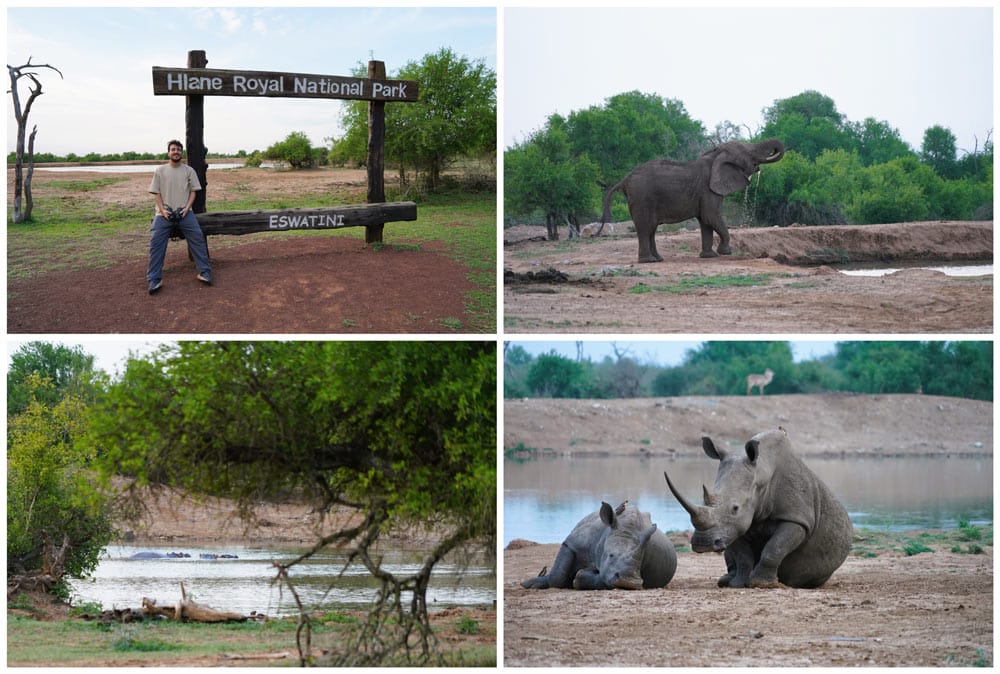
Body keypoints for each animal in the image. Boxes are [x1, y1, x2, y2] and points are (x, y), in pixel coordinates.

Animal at [520, 498, 676, 588]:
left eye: (640, 563)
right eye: (610, 556)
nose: (629, 581)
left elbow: (602, 578)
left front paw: (579, 578)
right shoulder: (572, 543)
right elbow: (557, 577)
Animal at [596, 138, 784, 262]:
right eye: (749, 154)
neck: (715, 154)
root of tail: (625, 179)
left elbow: (705, 221)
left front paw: (709, 256)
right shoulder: (708, 190)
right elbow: (711, 216)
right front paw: (726, 252)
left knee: (651, 229)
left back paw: (658, 259)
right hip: (642, 197)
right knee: (645, 227)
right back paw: (648, 261)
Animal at [664, 428, 852, 584]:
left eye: (735, 508)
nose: (703, 543)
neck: (762, 473)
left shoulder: (796, 518)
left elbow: (775, 547)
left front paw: (761, 584)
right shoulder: (733, 527)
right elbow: (742, 556)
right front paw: (738, 584)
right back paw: (725, 581)